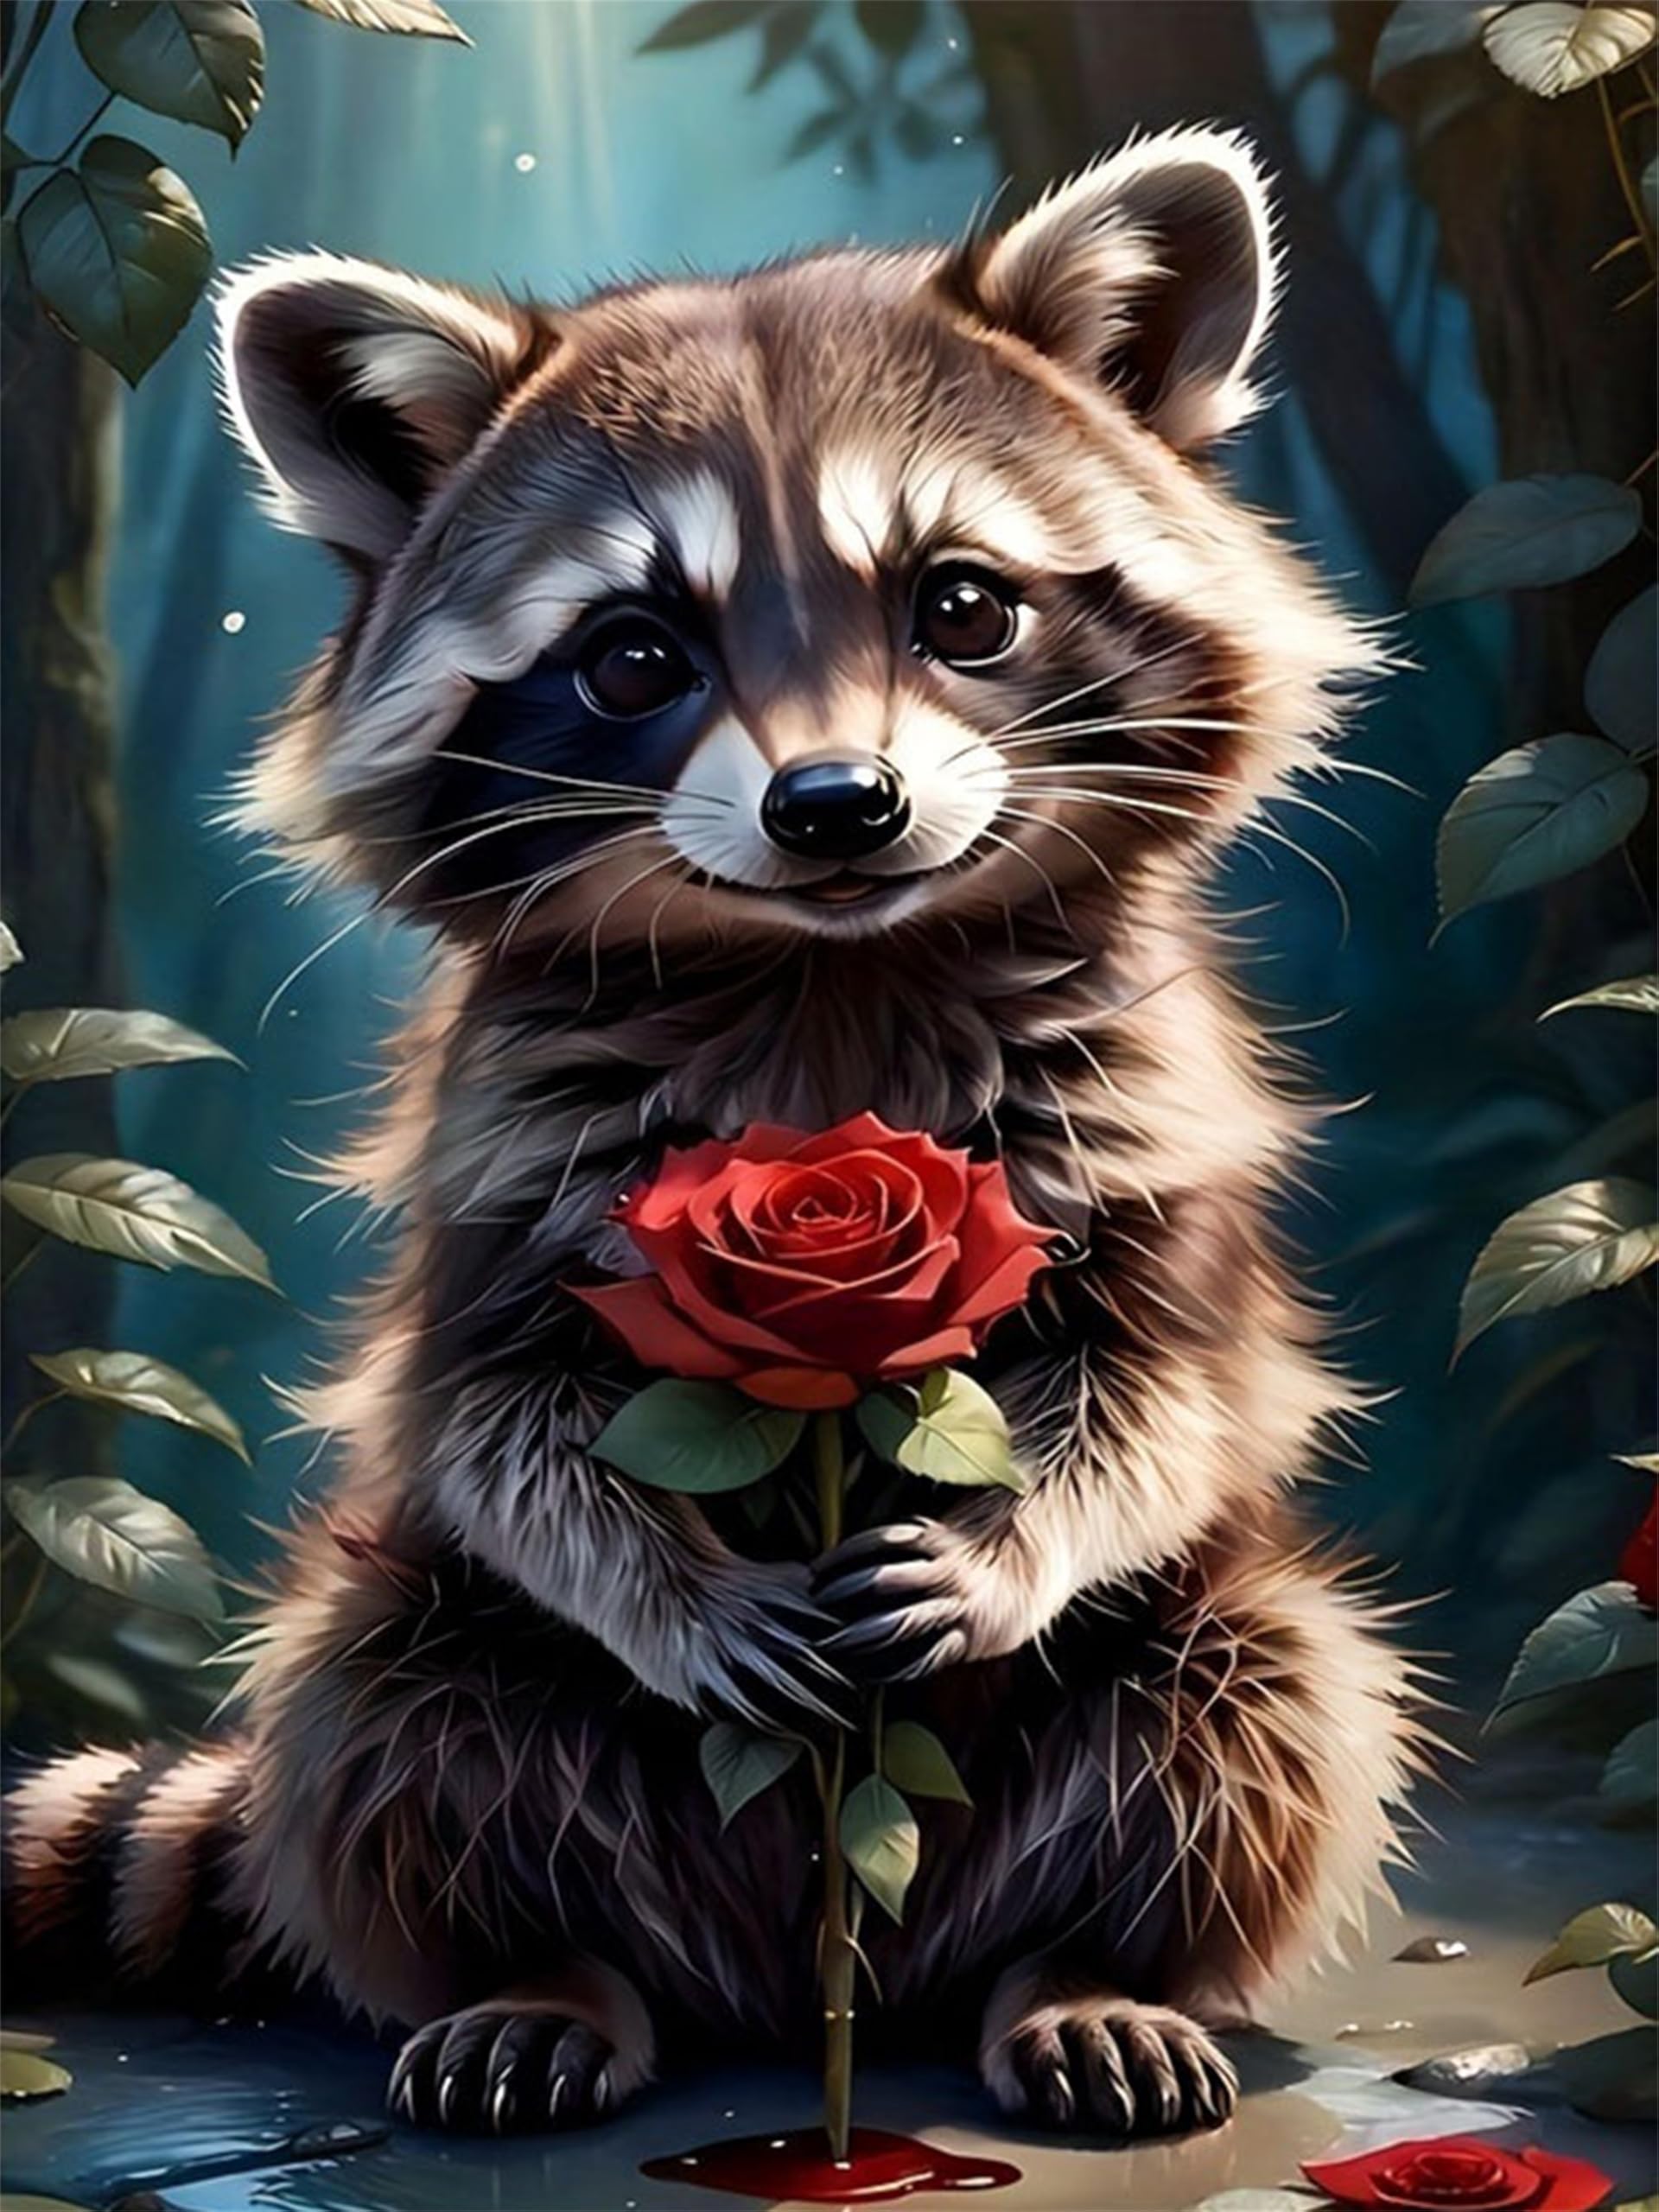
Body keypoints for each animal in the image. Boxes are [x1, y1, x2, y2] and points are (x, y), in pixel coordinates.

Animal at [7, 130, 1425, 2141]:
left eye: (963, 605)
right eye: (632, 656)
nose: (839, 805)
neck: (829, 969)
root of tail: (808, 1986)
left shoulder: (1148, 1103)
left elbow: (1171, 1393)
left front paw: (1012, 1546)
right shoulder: (503, 1141)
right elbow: (489, 1418)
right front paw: (666, 1585)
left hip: (1188, 1690)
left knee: (1260, 1684)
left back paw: (1084, 1966)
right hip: (447, 1699)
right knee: (387, 1698)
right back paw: (543, 1974)